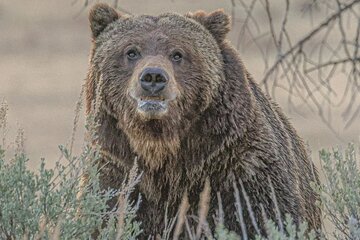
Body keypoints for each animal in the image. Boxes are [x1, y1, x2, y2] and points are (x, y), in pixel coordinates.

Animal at [86, 3, 320, 238]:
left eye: (177, 54)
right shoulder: (116, 173)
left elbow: (264, 216)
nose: (153, 77)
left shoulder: (238, 169)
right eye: (131, 51)